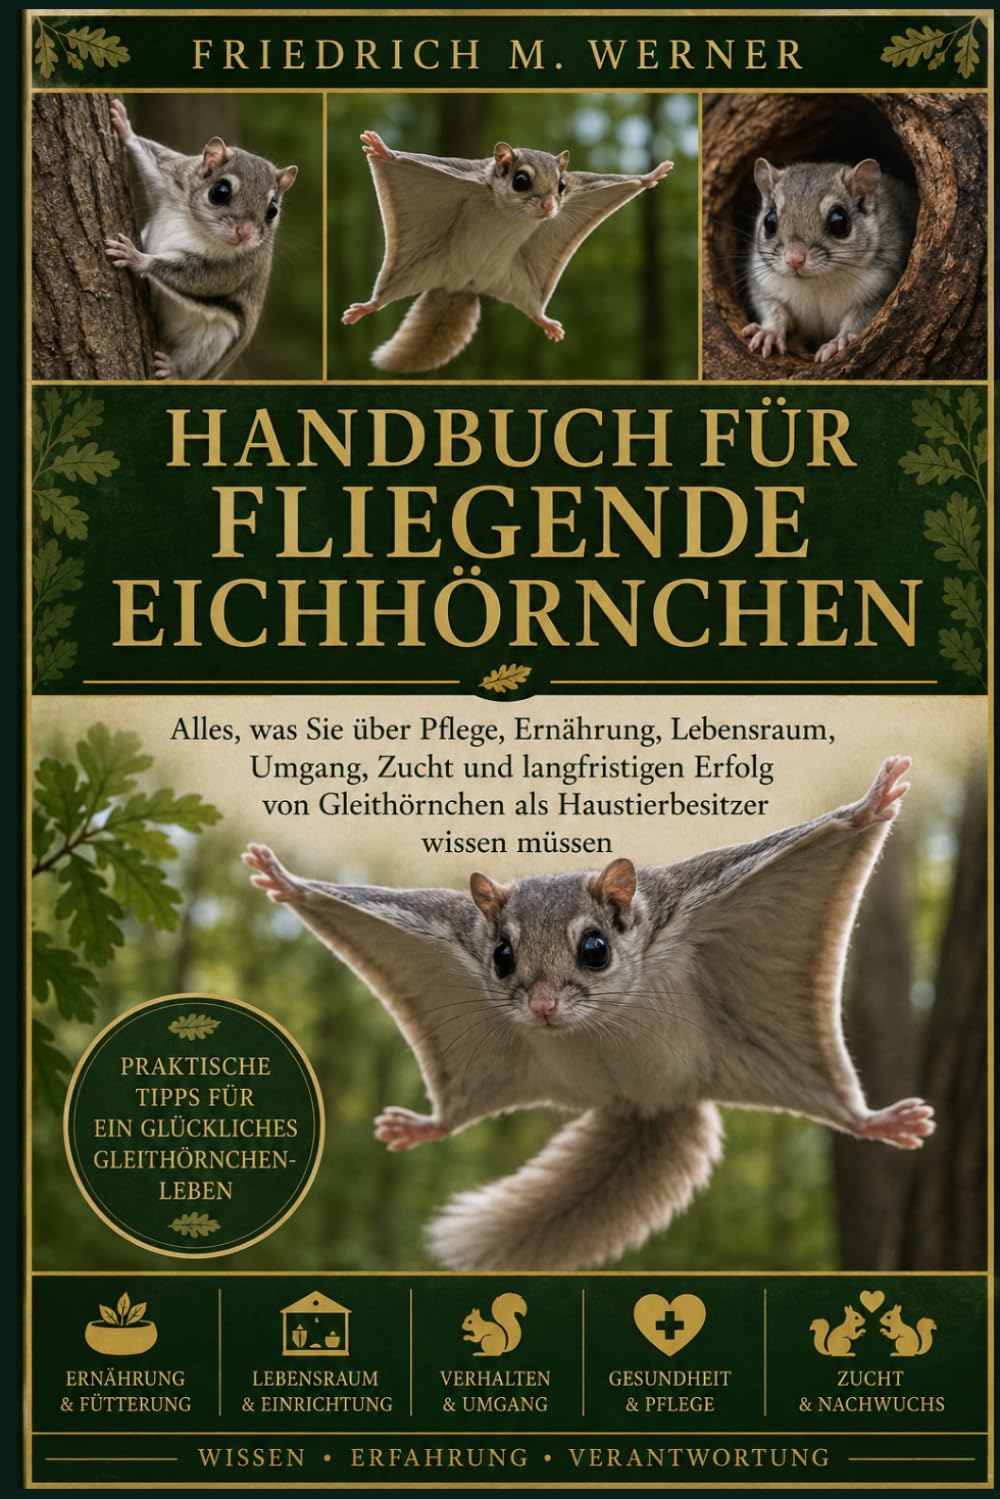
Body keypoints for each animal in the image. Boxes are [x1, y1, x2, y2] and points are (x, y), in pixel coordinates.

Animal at [104, 98, 297, 379]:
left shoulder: (238, 266)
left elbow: (198, 278)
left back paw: (173, 371)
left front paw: (136, 257)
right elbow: (152, 157)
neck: (197, 225)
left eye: (272, 210)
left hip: (217, 338)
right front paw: (124, 127)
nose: (245, 233)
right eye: (220, 191)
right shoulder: (175, 177)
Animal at [243, 756, 935, 1271]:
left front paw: (872, 802)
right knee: (457, 1114)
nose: (544, 1004)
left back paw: (878, 1120)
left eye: (595, 949)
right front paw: (283, 879)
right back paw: (424, 1127)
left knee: (837, 1104)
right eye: (500, 956)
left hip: (776, 1056)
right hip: (486, 1076)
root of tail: (646, 1104)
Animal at [342, 130, 672, 371]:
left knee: (533, 308)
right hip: (412, 269)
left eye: (562, 185)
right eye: (521, 180)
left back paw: (544, 321)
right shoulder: (458, 171)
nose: (550, 206)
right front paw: (383, 150)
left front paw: (650, 176)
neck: (509, 213)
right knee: (382, 296)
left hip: (522, 283)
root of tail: (459, 287)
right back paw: (365, 307)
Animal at [742, 157, 917, 364]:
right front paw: (769, 333)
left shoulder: (881, 290)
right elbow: (773, 309)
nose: (794, 259)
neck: (817, 282)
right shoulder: (765, 284)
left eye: (839, 222)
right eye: (769, 221)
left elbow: (861, 319)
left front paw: (840, 341)